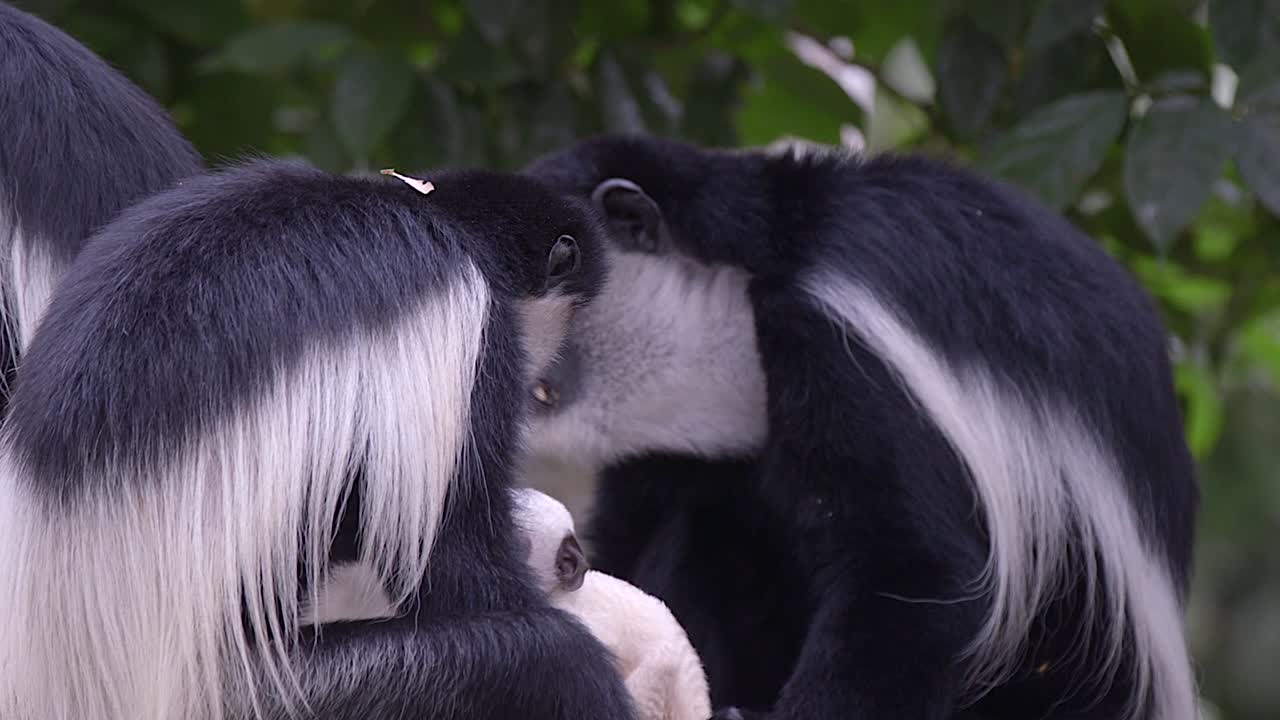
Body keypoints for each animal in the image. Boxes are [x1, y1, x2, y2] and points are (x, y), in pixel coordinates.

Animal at [0, 158, 637, 720]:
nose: (551, 378)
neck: (438, 217)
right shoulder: (471, 334)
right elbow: (456, 564)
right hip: (281, 688)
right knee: (549, 661)